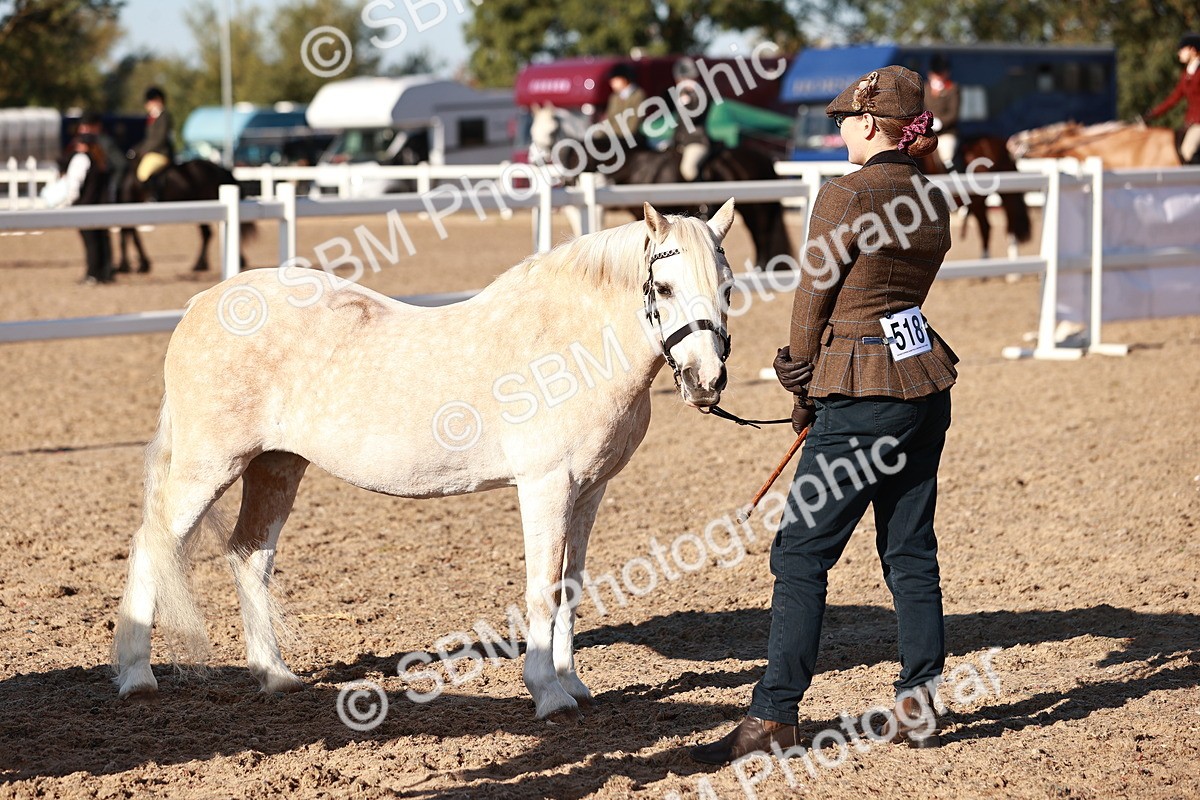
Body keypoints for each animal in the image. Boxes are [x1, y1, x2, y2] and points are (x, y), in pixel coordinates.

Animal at [112, 200, 737, 723]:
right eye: (664, 286)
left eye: (728, 287)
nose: (706, 381)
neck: (569, 345)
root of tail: (203, 304)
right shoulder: (546, 486)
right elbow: (542, 588)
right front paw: (549, 694)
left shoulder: (588, 490)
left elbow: (571, 587)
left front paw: (574, 684)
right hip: (208, 467)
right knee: (153, 542)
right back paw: (137, 677)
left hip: (276, 466)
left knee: (250, 557)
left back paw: (276, 676)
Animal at [117, 155, 256, 274]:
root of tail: (219, 168)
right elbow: (131, 236)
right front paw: (133, 265)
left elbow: (132, 237)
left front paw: (138, 265)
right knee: (208, 234)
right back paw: (206, 264)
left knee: (212, 233)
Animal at [529, 104, 792, 270]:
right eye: (532, 130)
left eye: (551, 131)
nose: (536, 160)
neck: (637, 165)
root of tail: (764, 157)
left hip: (758, 210)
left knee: (762, 237)